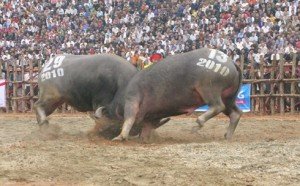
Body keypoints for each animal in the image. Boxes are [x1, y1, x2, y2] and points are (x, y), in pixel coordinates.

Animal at [95, 47, 241, 141]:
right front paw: (143, 139)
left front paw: (121, 136)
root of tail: (231, 62)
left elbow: (129, 119)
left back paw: (198, 122)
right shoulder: (151, 115)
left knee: (218, 106)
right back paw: (227, 135)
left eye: (107, 118)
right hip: (229, 97)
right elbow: (147, 126)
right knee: (235, 113)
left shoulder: (132, 100)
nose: (101, 132)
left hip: (208, 88)